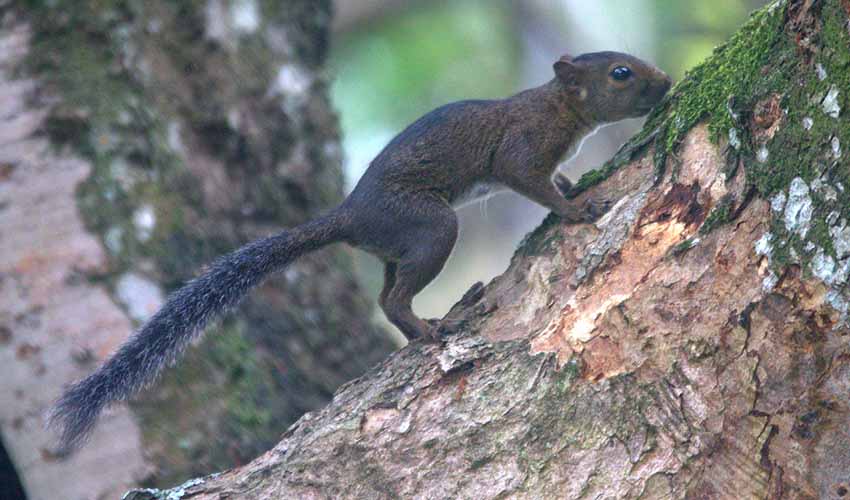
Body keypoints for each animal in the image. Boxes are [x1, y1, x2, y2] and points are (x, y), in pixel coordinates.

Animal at [49, 51, 672, 451]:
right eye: (621, 73)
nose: (666, 83)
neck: (561, 107)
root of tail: (349, 215)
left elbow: (554, 179)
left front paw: (573, 186)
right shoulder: (522, 148)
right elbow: (531, 181)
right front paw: (576, 209)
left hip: (400, 244)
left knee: (384, 295)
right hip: (430, 227)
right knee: (394, 299)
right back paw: (433, 331)